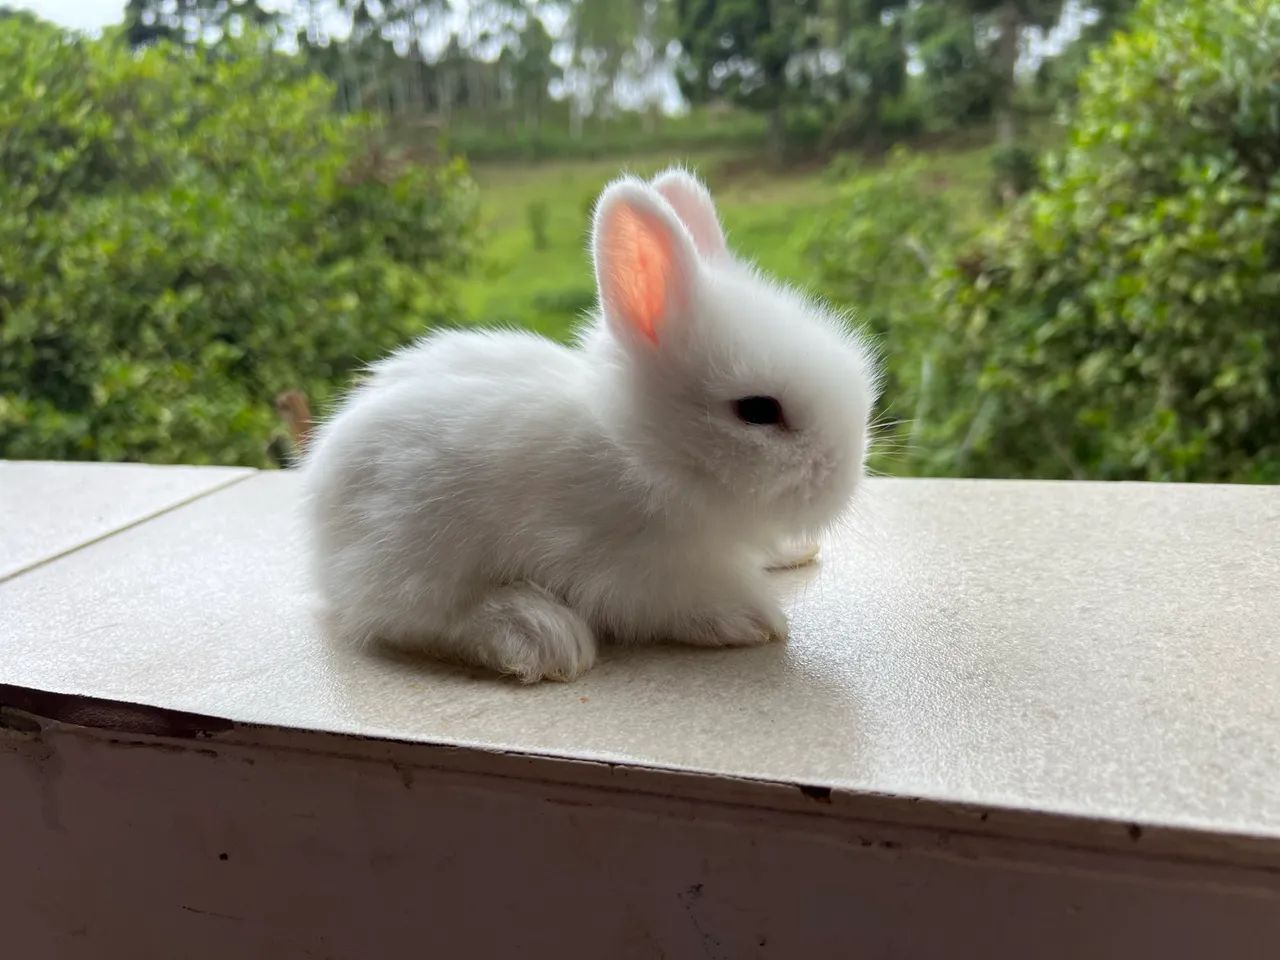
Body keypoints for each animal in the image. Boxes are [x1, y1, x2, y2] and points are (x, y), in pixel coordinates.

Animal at [302, 167, 878, 682]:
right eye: (758, 410)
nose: (846, 475)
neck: (644, 453)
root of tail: (321, 537)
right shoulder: (634, 568)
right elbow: (688, 599)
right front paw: (754, 619)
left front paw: (791, 552)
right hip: (419, 554)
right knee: (422, 620)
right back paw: (541, 636)